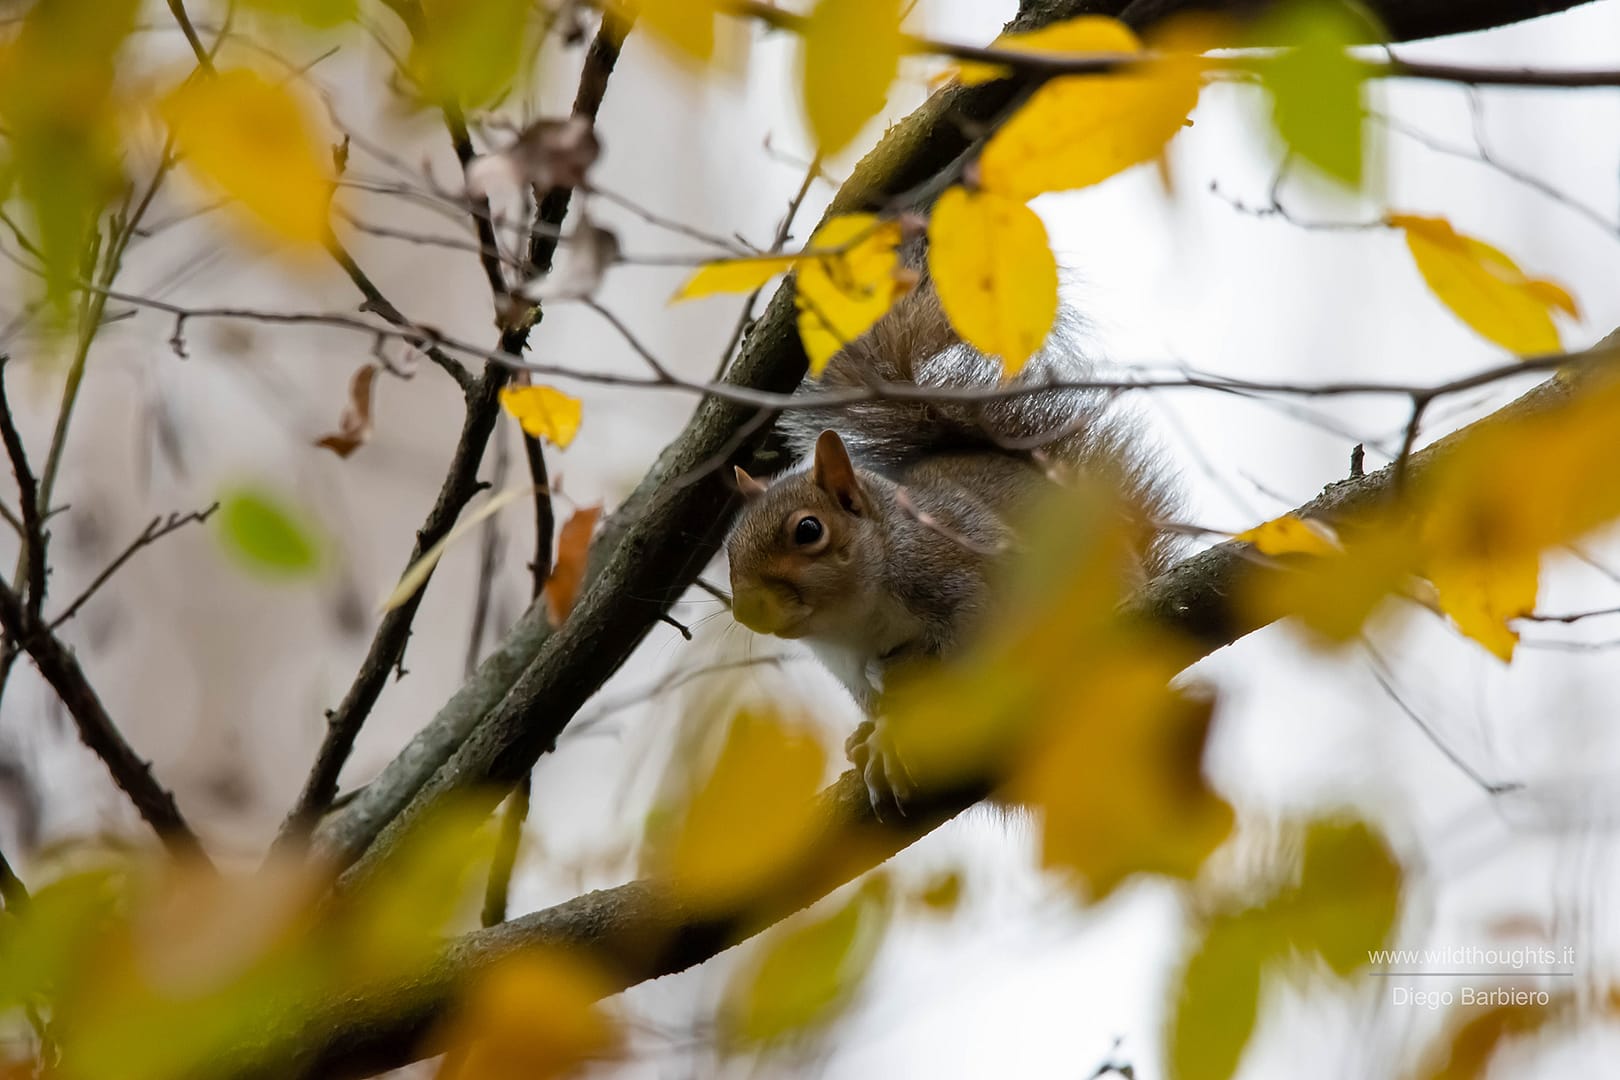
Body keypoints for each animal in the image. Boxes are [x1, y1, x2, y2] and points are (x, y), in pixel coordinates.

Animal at [725, 282, 1178, 817]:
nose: (746, 608)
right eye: (729, 549)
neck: (857, 617)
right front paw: (874, 733)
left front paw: (890, 735)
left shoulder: (954, 572)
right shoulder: (847, 666)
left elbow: (967, 640)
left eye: (809, 530)